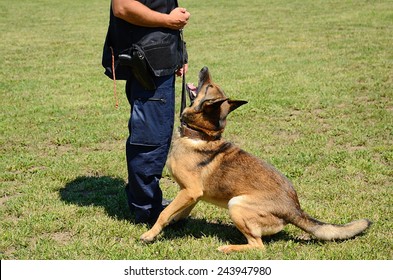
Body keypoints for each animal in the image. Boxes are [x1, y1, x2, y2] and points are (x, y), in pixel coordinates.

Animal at [141, 66, 370, 253]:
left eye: (209, 85)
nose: (204, 67)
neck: (200, 134)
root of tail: (294, 209)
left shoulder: (190, 191)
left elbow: (164, 214)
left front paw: (150, 235)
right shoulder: (192, 194)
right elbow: (178, 213)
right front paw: (172, 225)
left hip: (236, 205)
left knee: (258, 246)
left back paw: (228, 248)